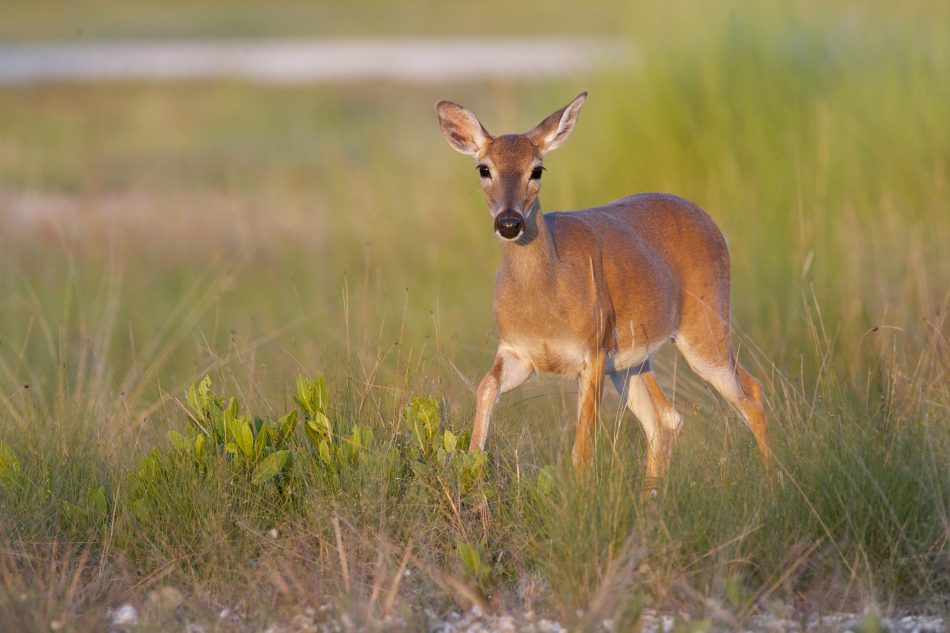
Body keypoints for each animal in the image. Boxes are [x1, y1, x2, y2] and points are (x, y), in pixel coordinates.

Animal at [438, 91, 772, 486]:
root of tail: (714, 225)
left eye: (537, 169)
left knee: (751, 393)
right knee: (665, 419)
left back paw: (775, 482)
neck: (545, 301)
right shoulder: (518, 352)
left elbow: (582, 450)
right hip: (632, 360)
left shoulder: (592, 350)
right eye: (483, 168)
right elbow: (485, 392)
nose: (509, 222)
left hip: (705, 326)